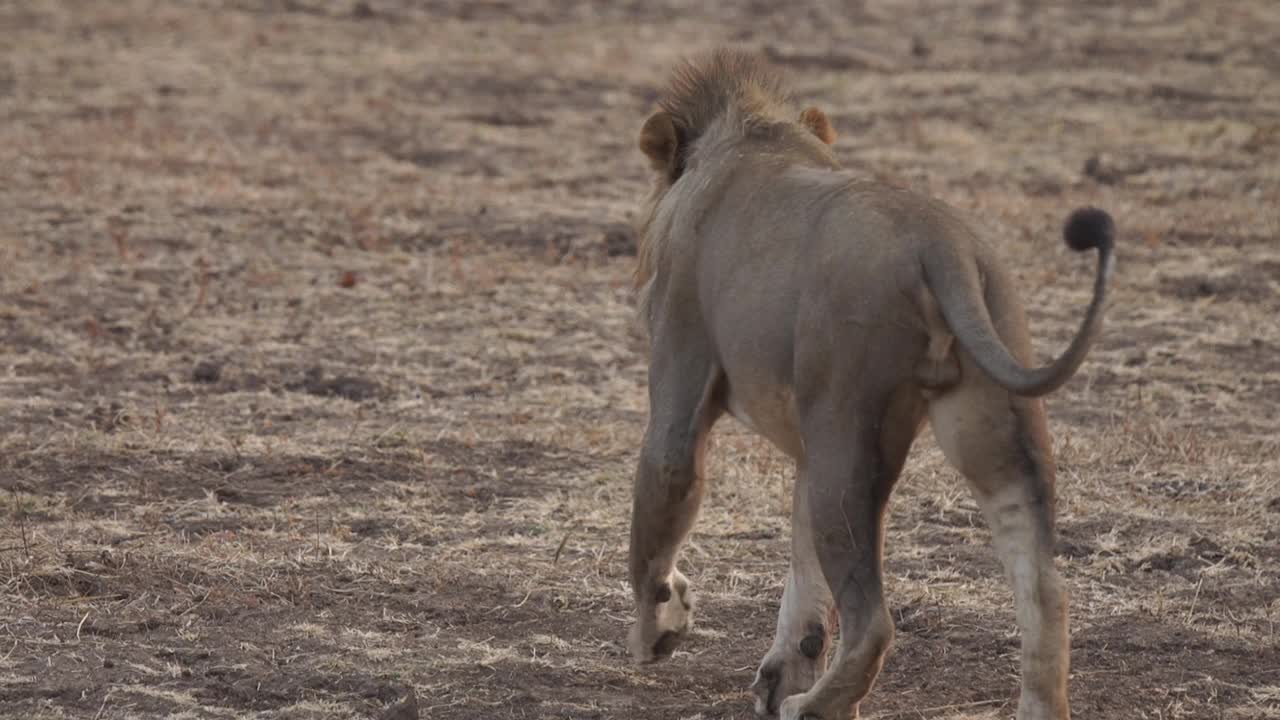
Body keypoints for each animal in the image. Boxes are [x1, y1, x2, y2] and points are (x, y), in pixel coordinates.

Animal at [624, 46, 1116, 717]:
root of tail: (942, 244)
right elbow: (804, 576)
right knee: (1044, 588)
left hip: (848, 423)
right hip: (992, 423)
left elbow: (661, 497)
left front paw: (659, 630)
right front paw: (782, 672)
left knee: (874, 622)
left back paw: (812, 708)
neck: (750, 135)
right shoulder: (807, 446)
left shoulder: (682, 364)